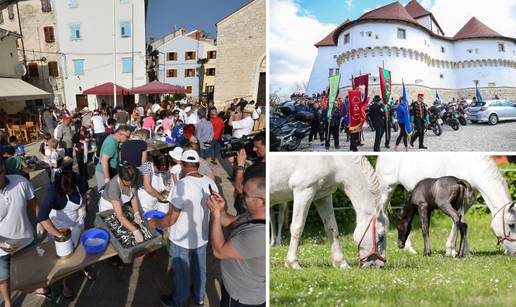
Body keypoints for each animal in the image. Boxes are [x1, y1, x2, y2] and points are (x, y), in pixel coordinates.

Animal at [374, 154, 516, 258]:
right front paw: (453, 250)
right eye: (511, 224)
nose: (514, 252)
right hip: (385, 190)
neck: (470, 165)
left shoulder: (465, 203)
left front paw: (458, 251)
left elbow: (459, 222)